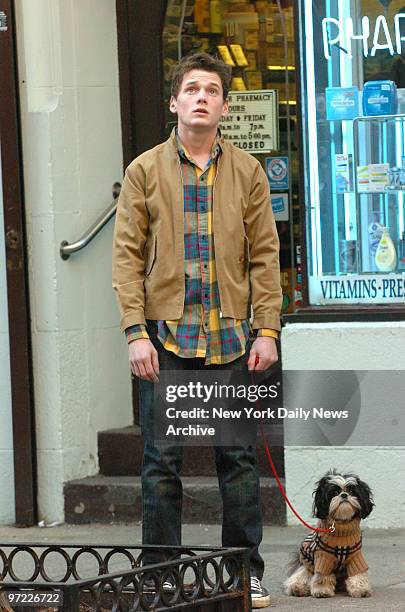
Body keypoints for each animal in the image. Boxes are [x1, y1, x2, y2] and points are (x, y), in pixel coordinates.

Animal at [284, 468, 372, 596]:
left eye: (351, 491)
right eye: (334, 492)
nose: (344, 495)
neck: (341, 528)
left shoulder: (356, 558)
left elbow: (357, 574)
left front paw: (361, 589)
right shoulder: (323, 559)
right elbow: (322, 576)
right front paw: (322, 590)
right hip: (307, 564)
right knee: (300, 575)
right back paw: (298, 588)